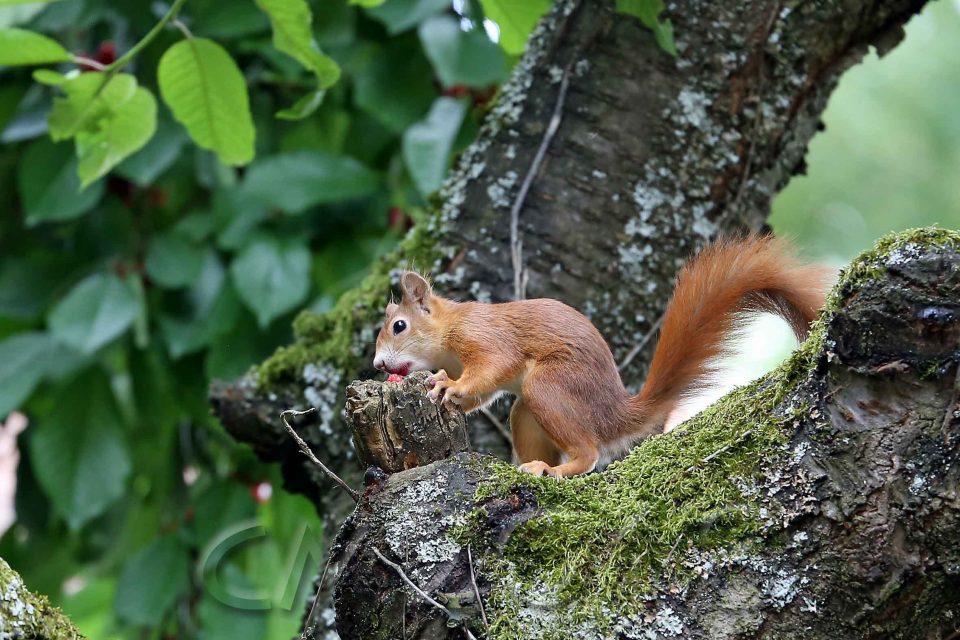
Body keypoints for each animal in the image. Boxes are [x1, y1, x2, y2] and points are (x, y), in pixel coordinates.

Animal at [373, 235, 831, 477]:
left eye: (399, 326)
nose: (378, 365)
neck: (448, 330)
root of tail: (614, 411)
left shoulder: (484, 337)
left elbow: (493, 366)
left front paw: (446, 385)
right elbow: (482, 394)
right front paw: (449, 391)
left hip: (550, 386)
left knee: (589, 454)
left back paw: (553, 471)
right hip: (529, 411)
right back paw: (531, 465)